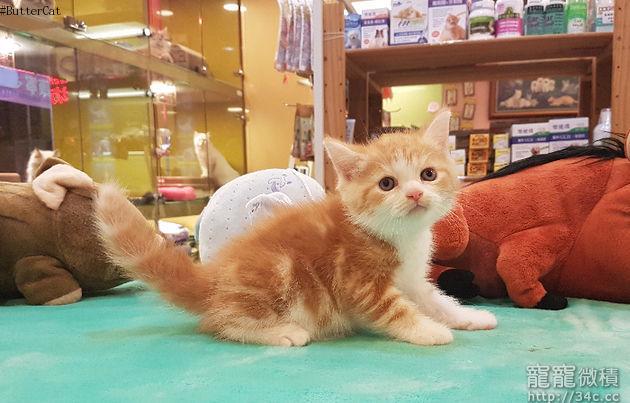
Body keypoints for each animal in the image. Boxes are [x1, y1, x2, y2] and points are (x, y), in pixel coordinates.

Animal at [95, 111, 496, 347]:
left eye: (428, 174)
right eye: (387, 184)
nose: (415, 193)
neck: (398, 235)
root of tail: (212, 278)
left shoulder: (412, 279)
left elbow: (435, 299)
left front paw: (467, 316)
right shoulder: (357, 280)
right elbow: (393, 310)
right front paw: (429, 330)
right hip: (274, 273)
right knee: (220, 321)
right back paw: (282, 331)